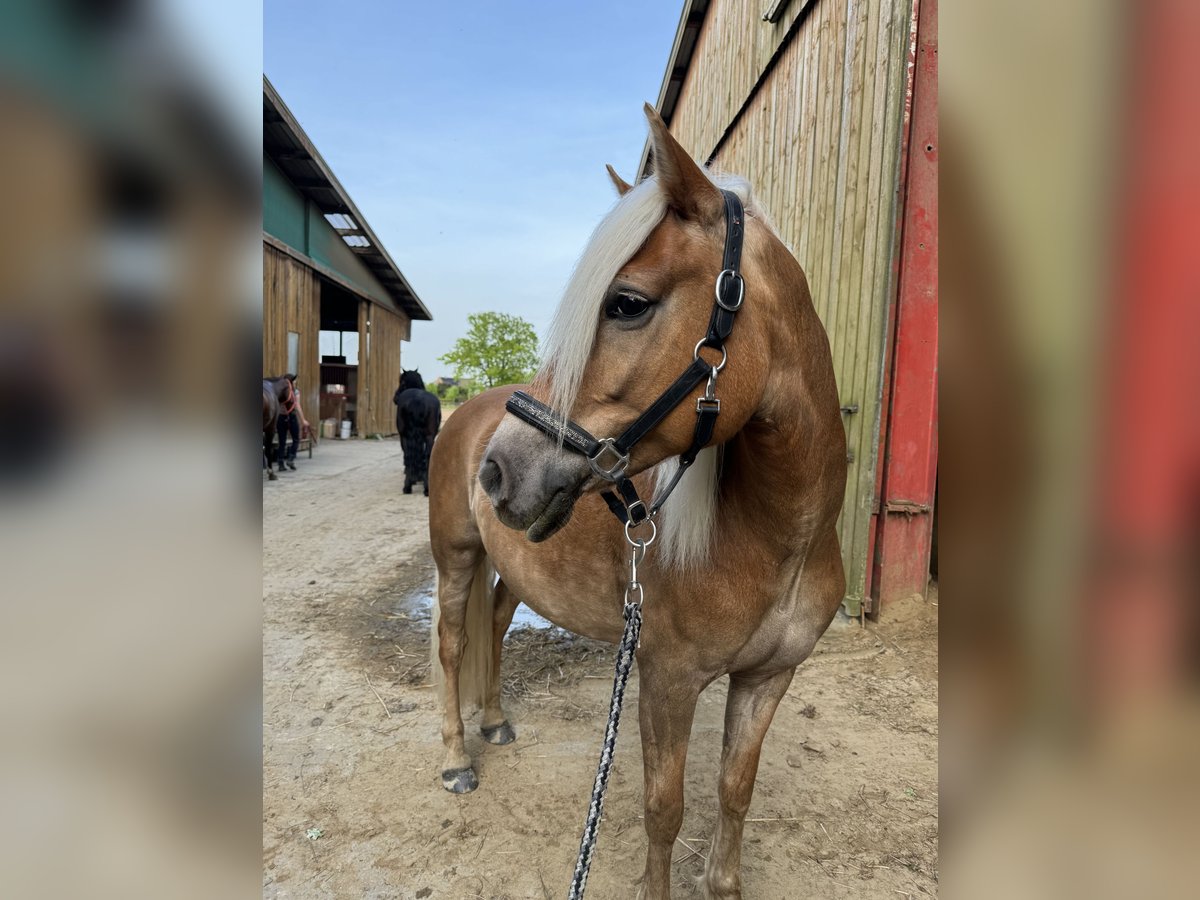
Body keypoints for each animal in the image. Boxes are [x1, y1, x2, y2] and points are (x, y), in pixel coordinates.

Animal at [427, 107, 849, 900]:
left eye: (627, 304)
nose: (499, 471)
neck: (779, 539)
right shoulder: (667, 681)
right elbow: (664, 810)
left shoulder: (767, 679)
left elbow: (733, 793)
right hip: (456, 556)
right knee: (452, 643)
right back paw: (458, 760)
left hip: (514, 567)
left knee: (494, 625)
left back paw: (494, 723)